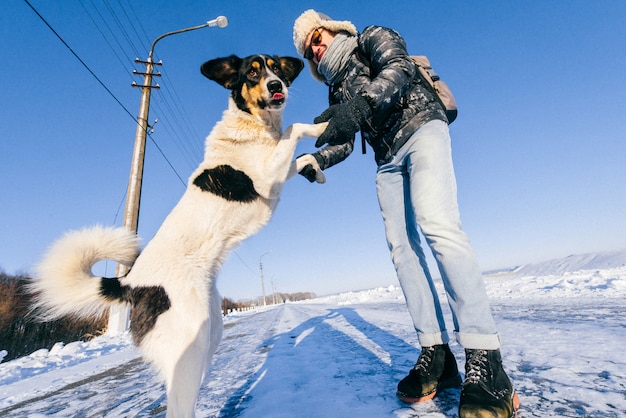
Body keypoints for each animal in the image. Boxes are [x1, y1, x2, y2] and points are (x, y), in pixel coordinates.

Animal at [30, 55, 326, 418]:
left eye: (276, 68)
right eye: (253, 72)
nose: (276, 86)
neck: (256, 125)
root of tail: (130, 282)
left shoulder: (278, 171)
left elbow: (302, 155)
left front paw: (317, 171)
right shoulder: (269, 177)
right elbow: (295, 129)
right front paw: (321, 127)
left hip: (210, 332)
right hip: (190, 344)